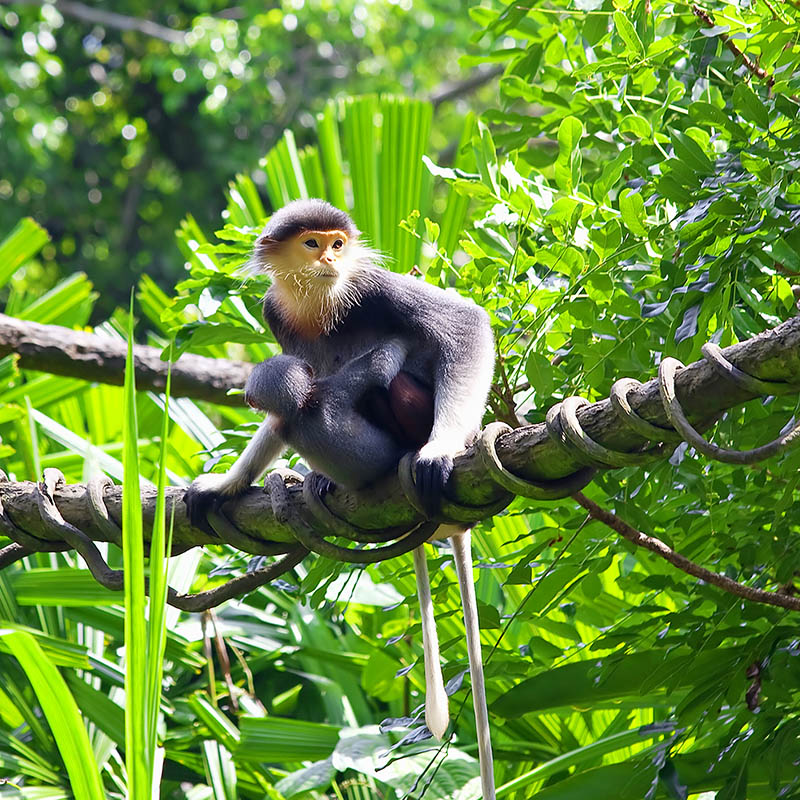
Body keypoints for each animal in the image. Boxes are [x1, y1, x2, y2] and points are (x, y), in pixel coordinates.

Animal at [188, 200, 496, 800]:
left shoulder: (372, 286)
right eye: (312, 244)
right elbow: (287, 397)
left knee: (381, 384)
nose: (331, 260)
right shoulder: (275, 312)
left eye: (337, 244)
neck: (316, 301)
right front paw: (228, 483)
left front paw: (442, 447)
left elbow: (464, 324)